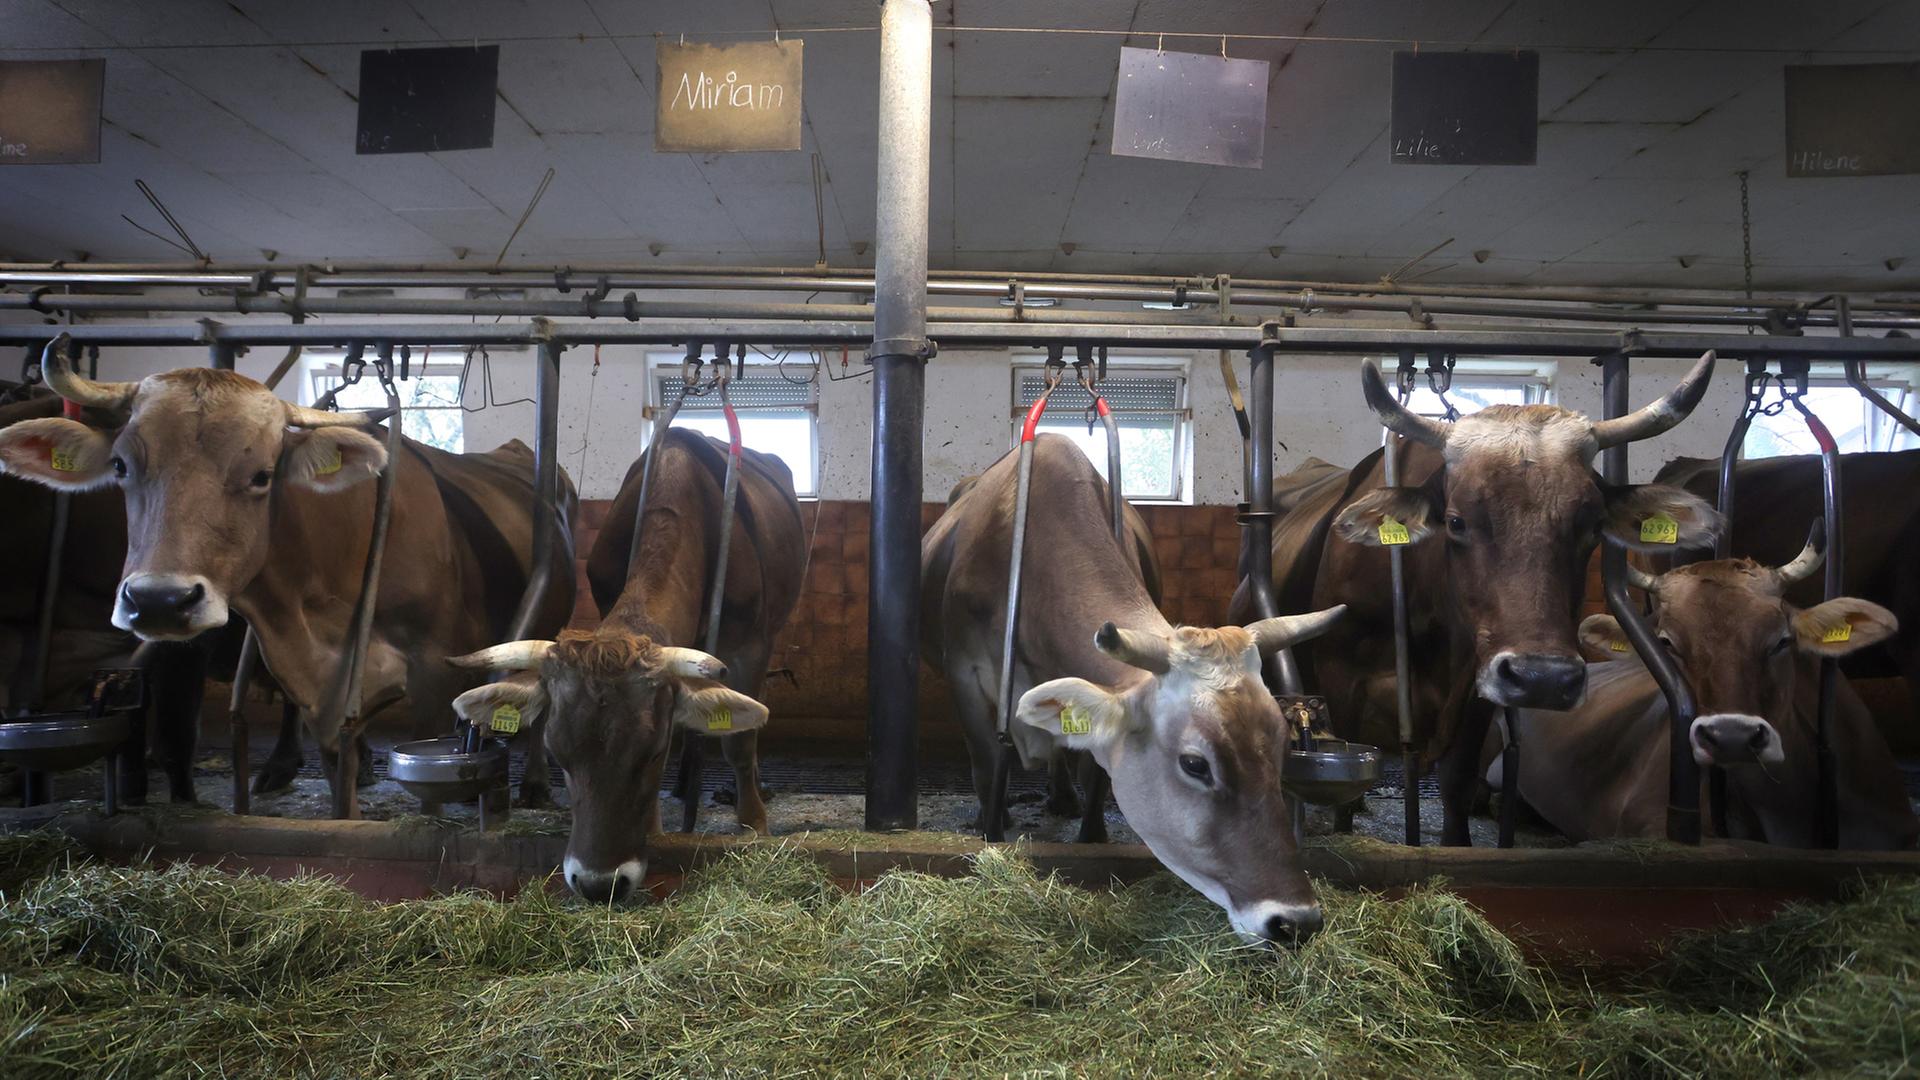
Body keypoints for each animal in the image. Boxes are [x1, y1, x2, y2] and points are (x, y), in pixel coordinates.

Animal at [0, 353, 577, 818]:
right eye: (120, 466)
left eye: (262, 474)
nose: (159, 600)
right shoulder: (309, 683)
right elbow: (338, 778)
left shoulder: (436, 671)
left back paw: (533, 787)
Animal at [444, 428, 804, 903]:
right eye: (559, 754)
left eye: (651, 753)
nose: (599, 884)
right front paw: (656, 826)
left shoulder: (750, 643)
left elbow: (740, 743)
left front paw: (753, 823)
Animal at [923, 434, 1347, 945]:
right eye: (1194, 764)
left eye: (1283, 746)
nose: (1295, 920)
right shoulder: (965, 678)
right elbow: (989, 765)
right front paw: (991, 833)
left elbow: (1097, 775)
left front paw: (1093, 837)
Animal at [1240, 354, 1723, 845]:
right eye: (1456, 521)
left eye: (1592, 526)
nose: (1544, 678)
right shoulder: (1343, 676)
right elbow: (1344, 789)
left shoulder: (1481, 686)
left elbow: (1457, 779)